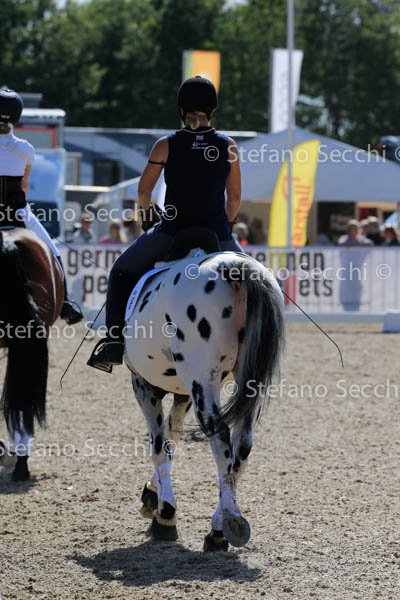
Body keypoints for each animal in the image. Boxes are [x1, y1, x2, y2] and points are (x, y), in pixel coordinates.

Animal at [122, 230, 285, 551]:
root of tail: (234, 267)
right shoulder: (183, 392)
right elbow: (172, 436)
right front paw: (152, 494)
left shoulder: (144, 385)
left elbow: (159, 445)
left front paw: (165, 513)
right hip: (246, 386)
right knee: (242, 444)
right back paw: (222, 524)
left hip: (202, 381)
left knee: (219, 436)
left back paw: (226, 525)